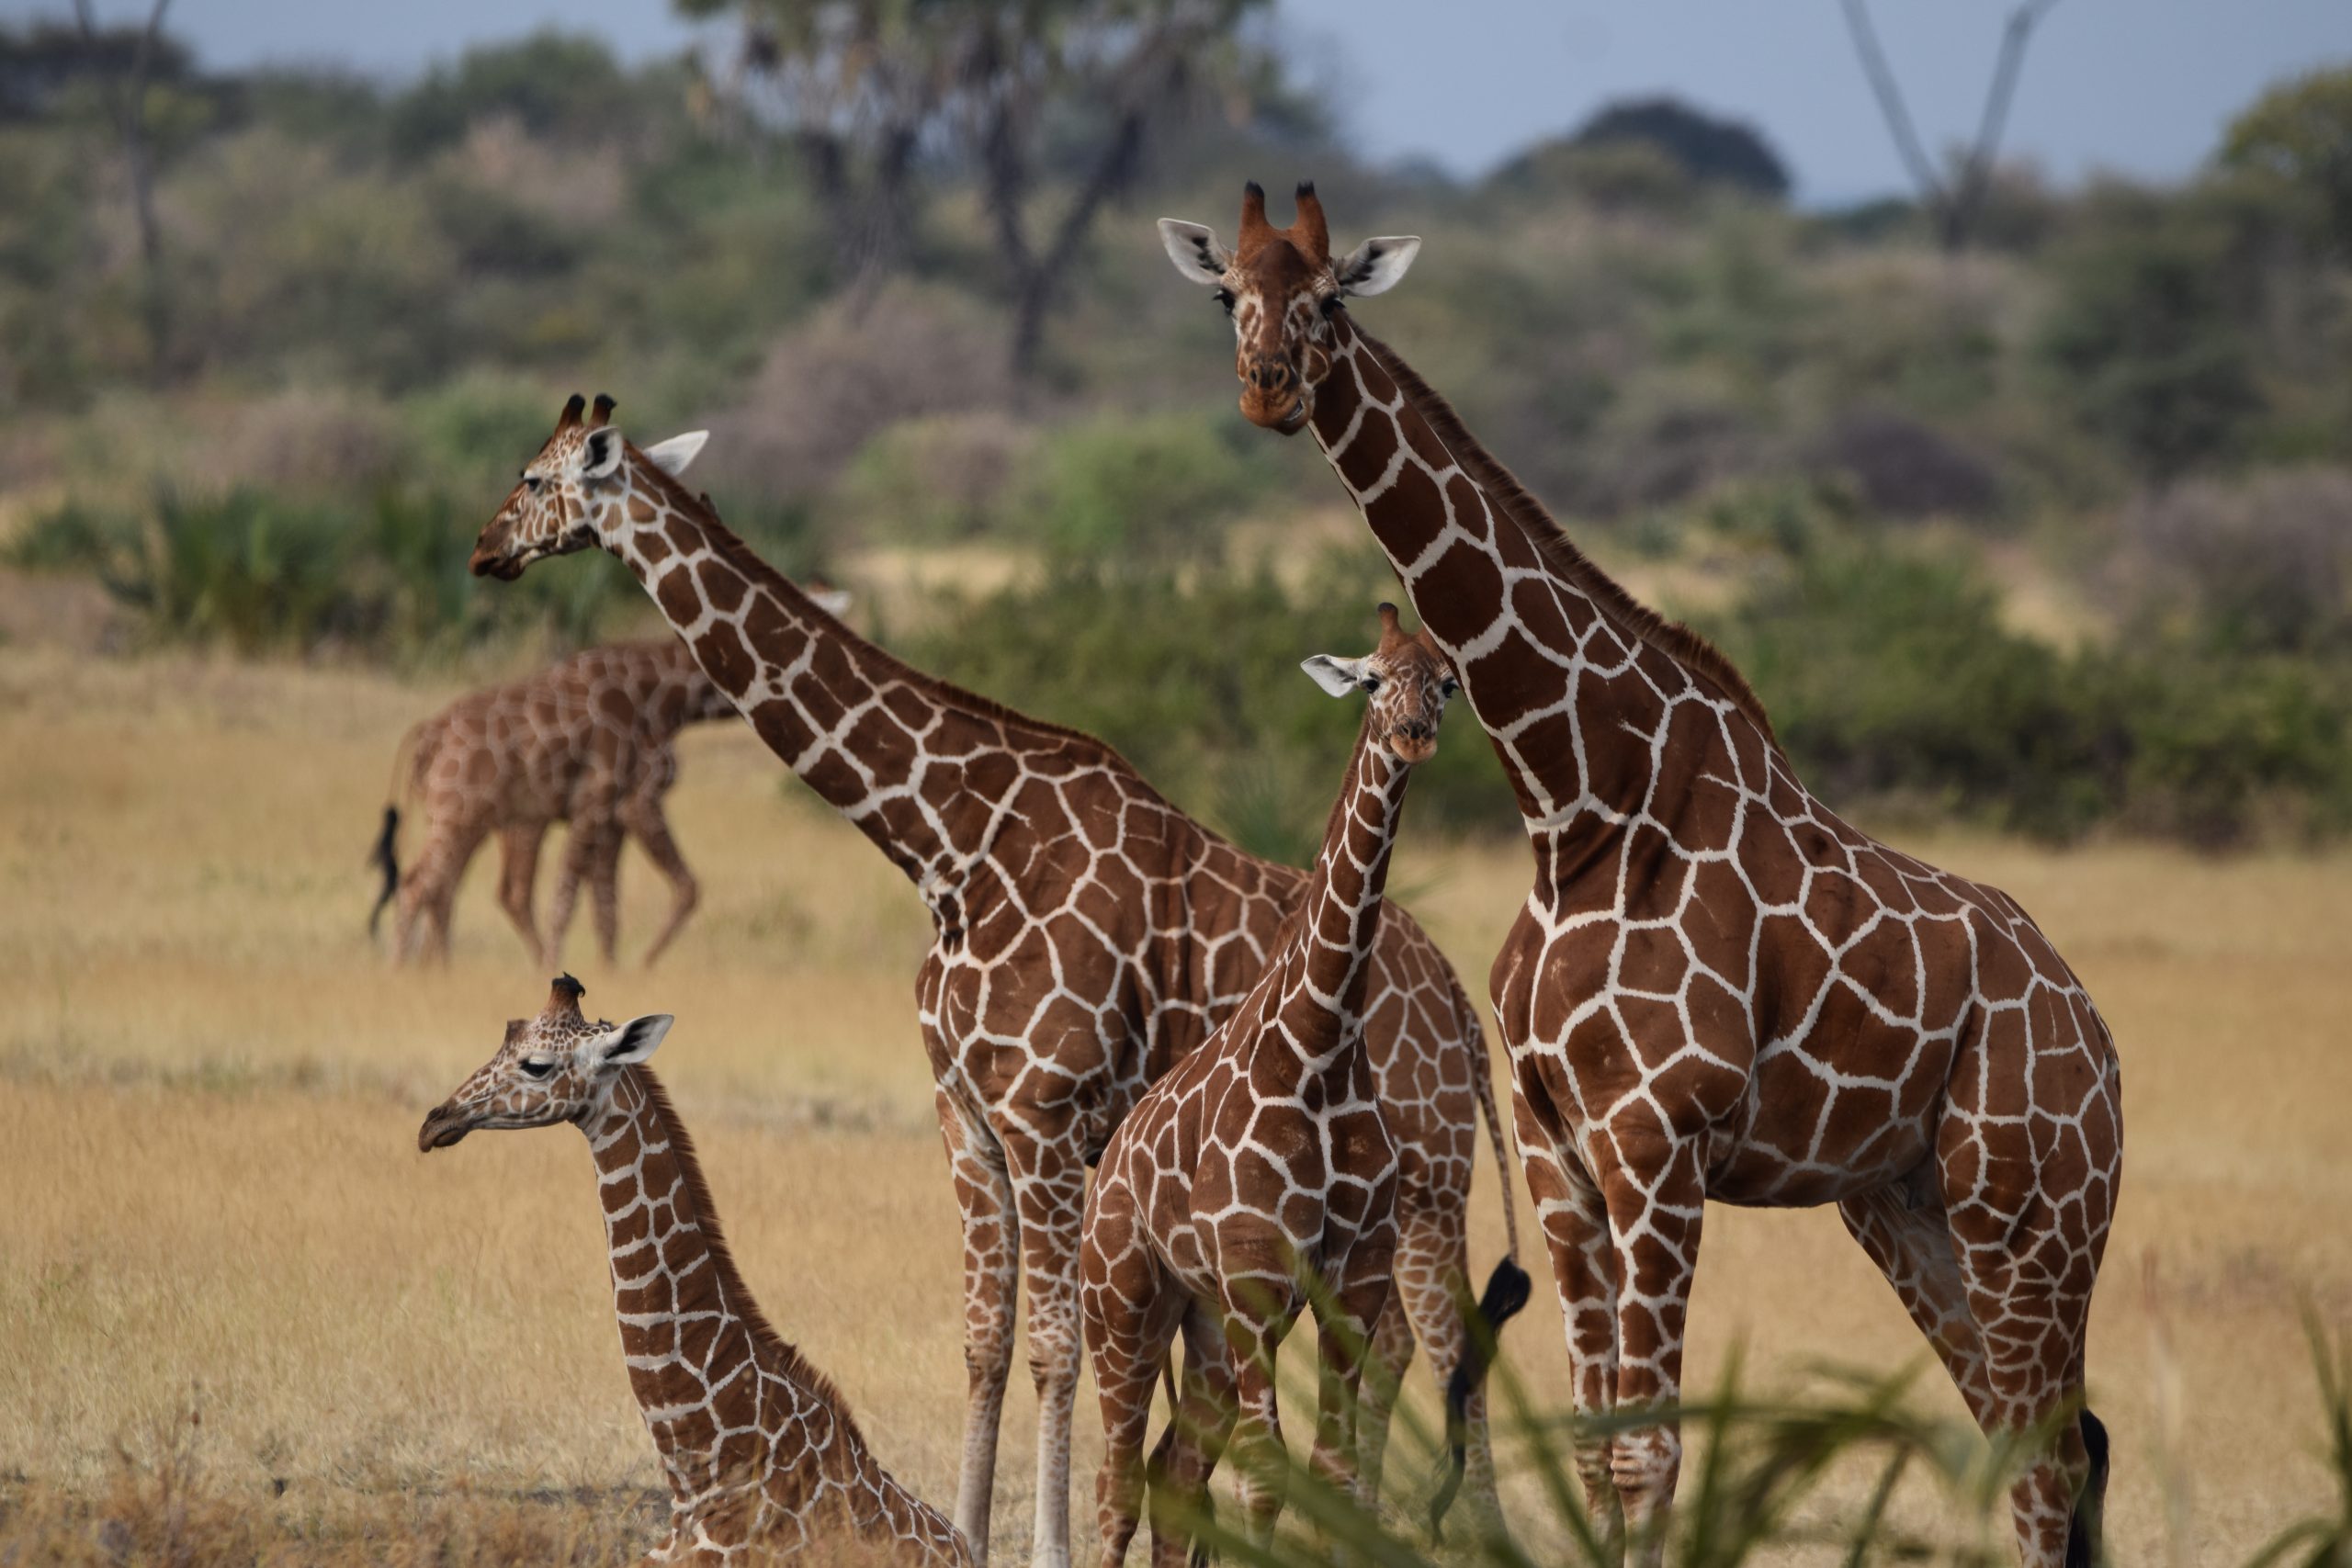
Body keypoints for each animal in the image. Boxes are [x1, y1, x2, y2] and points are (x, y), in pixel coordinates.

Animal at [371, 634, 733, 968]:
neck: (662, 697)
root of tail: (427, 734)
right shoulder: (616, 801)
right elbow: (571, 895)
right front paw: (589, 966)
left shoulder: (611, 811)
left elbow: (605, 902)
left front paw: (609, 969)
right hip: (461, 814)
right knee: (424, 885)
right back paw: (402, 971)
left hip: (466, 818)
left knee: (452, 888)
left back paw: (439, 969)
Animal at [1077, 606, 1476, 1561]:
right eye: (1372, 678)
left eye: (1446, 681)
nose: (1412, 734)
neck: (1321, 1045)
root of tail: (1106, 1167)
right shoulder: (1259, 1276)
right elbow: (1266, 1475)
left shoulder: (1351, 1279)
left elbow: (1329, 1474)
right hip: (1124, 1302)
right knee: (1117, 1478)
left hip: (1205, 1320)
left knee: (1174, 1470)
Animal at [1157, 186, 2135, 1568]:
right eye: (1227, 294)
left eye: (1332, 295)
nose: (1268, 388)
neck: (1577, 803)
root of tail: (2096, 1036)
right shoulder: (1562, 1151)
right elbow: (1597, 1440)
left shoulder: (1659, 1141)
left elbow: (1654, 1446)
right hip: (1907, 1205)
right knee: (2038, 1442)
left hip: (2034, 1211)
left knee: (2051, 1454)